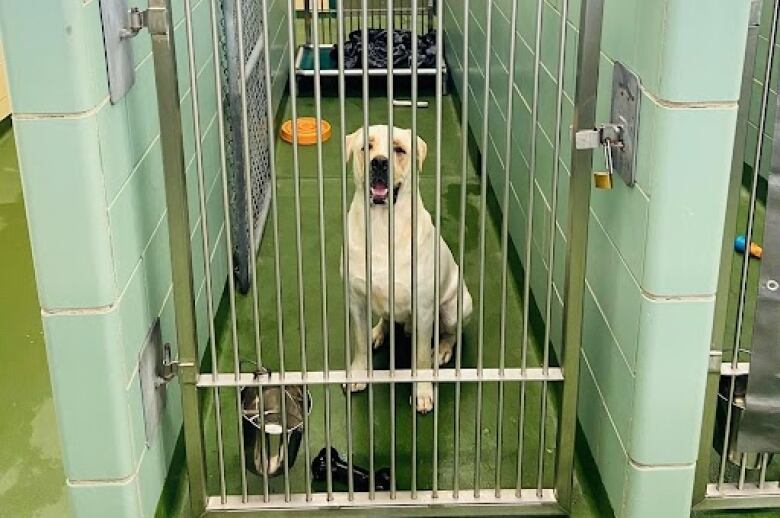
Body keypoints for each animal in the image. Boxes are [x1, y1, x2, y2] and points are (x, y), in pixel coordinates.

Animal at [344, 126, 472, 414]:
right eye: (366, 147)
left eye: (399, 149)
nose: (379, 162)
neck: (382, 227)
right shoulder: (356, 300)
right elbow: (358, 344)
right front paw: (359, 373)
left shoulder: (424, 308)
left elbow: (421, 357)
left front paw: (423, 392)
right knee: (385, 320)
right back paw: (378, 332)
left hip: (455, 307)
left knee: (452, 333)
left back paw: (443, 349)